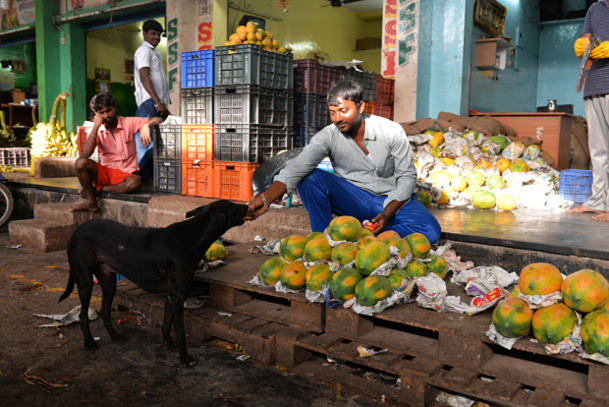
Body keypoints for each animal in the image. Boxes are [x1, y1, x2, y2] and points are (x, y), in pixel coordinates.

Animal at [57, 200, 247, 366]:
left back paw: (114, 336)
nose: (246, 206)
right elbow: (180, 331)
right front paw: (185, 358)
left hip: (109, 282)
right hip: (85, 281)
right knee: (82, 316)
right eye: (232, 206)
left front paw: (169, 344)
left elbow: (166, 323)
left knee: (105, 312)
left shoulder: (172, 293)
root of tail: (75, 232)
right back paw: (89, 342)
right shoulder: (177, 294)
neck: (194, 234)